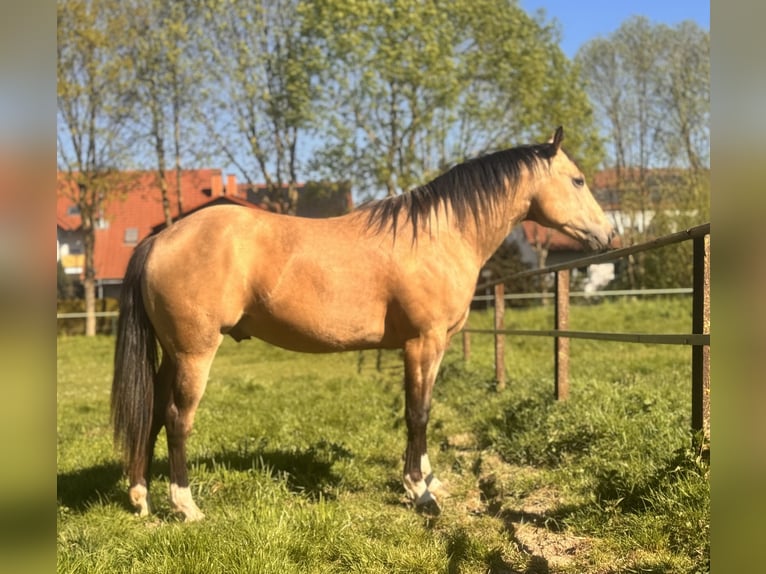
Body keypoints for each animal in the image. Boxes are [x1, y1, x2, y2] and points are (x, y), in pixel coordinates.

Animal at [111, 127, 616, 521]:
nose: (610, 234)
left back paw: (141, 497)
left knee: (152, 412)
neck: (440, 234)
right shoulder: (422, 342)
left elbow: (424, 410)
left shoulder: (435, 345)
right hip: (195, 353)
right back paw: (186, 506)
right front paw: (420, 492)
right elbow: (417, 413)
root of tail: (160, 239)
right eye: (577, 179)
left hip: (172, 354)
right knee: (177, 418)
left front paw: (428, 479)